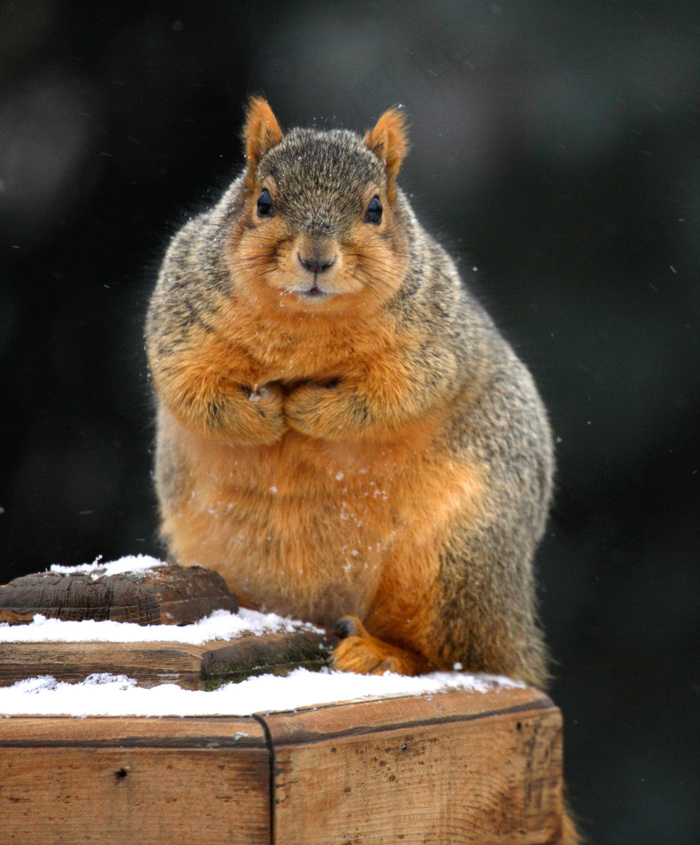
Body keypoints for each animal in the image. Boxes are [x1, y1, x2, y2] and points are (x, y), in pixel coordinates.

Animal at [146, 99, 552, 688]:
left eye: (375, 209)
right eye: (263, 201)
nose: (316, 259)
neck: (306, 325)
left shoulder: (431, 342)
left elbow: (393, 397)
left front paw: (306, 409)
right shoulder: (182, 315)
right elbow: (189, 389)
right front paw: (264, 417)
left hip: (453, 560)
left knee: (449, 653)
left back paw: (381, 653)